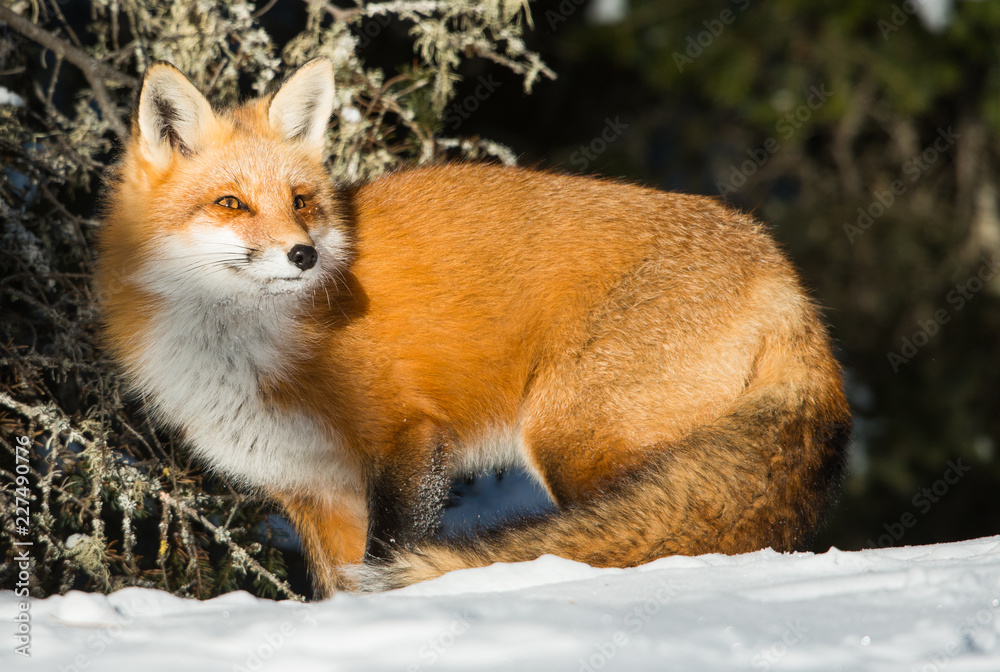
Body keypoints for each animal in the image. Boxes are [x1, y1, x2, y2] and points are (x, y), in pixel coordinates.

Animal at [96, 57, 851, 598]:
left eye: (301, 201)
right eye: (231, 203)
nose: (304, 255)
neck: (249, 348)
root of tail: (784, 274)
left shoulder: (406, 438)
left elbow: (387, 556)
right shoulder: (315, 491)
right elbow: (337, 590)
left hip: (576, 439)